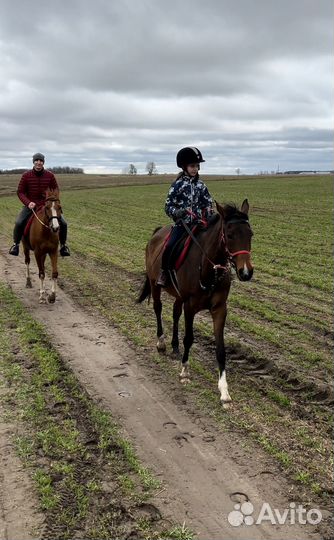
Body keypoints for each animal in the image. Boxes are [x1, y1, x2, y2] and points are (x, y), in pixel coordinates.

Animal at [137, 198, 254, 404]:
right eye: (229, 234)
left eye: (251, 234)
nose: (246, 272)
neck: (208, 268)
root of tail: (157, 233)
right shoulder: (190, 306)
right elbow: (189, 338)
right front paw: (184, 371)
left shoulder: (219, 308)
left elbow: (220, 348)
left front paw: (224, 391)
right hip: (154, 284)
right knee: (158, 309)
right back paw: (162, 343)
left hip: (178, 296)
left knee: (175, 314)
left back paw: (174, 346)